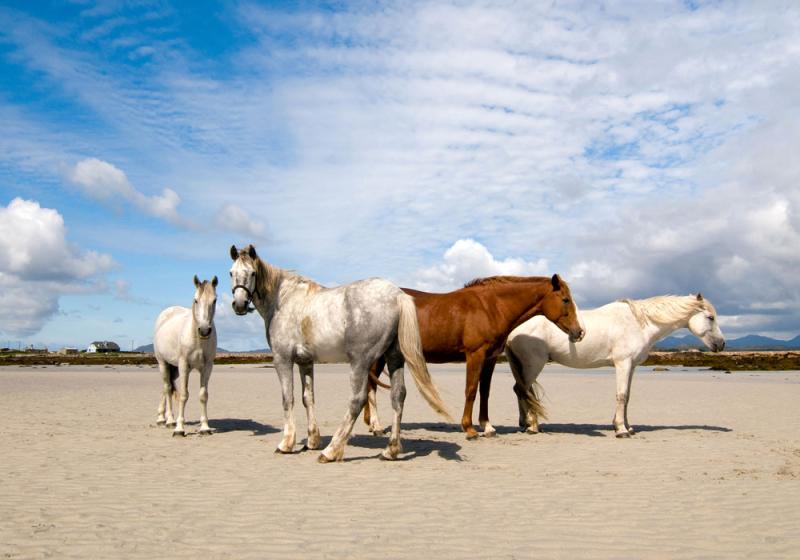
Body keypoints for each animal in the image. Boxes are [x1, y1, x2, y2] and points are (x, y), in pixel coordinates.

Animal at [154, 275, 218, 437]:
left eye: (214, 300)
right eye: (196, 300)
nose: (204, 330)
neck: (197, 339)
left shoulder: (207, 367)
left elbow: (203, 395)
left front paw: (205, 427)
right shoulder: (184, 365)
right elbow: (183, 395)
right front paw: (179, 428)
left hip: (173, 368)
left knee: (166, 387)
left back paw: (162, 418)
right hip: (163, 364)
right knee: (167, 388)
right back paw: (169, 420)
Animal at [229, 244, 452, 462]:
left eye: (252, 273)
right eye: (231, 272)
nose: (239, 305)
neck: (283, 300)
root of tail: (397, 295)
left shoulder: (282, 359)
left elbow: (288, 398)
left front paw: (286, 443)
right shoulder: (305, 362)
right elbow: (307, 398)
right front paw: (312, 440)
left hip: (360, 362)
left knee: (357, 401)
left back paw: (331, 450)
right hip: (394, 359)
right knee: (398, 396)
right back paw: (390, 450)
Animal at [364, 274, 586, 440]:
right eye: (565, 299)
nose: (579, 332)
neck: (491, 307)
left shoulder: (490, 358)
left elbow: (484, 391)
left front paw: (487, 427)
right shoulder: (475, 355)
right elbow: (470, 390)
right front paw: (469, 428)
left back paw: (372, 424)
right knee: (370, 385)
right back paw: (376, 425)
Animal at [505, 293, 726, 437]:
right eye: (710, 317)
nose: (721, 344)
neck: (639, 323)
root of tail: (513, 331)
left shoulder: (631, 367)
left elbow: (627, 397)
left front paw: (627, 427)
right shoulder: (623, 364)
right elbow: (622, 395)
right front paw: (621, 430)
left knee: (520, 390)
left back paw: (525, 424)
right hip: (534, 365)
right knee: (524, 390)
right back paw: (533, 426)